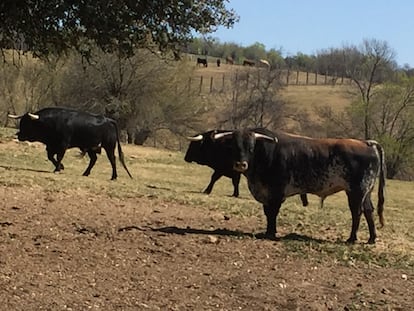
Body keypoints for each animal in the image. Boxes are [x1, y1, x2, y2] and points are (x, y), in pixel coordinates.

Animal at [215, 128, 386, 245]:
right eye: (234, 147)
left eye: (251, 148)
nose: (240, 164)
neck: (266, 153)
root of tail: (367, 143)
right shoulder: (266, 193)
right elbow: (267, 213)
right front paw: (269, 231)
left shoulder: (277, 192)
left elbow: (272, 213)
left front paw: (271, 232)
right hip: (365, 191)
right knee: (368, 211)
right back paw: (371, 239)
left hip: (356, 191)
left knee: (357, 212)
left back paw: (351, 238)